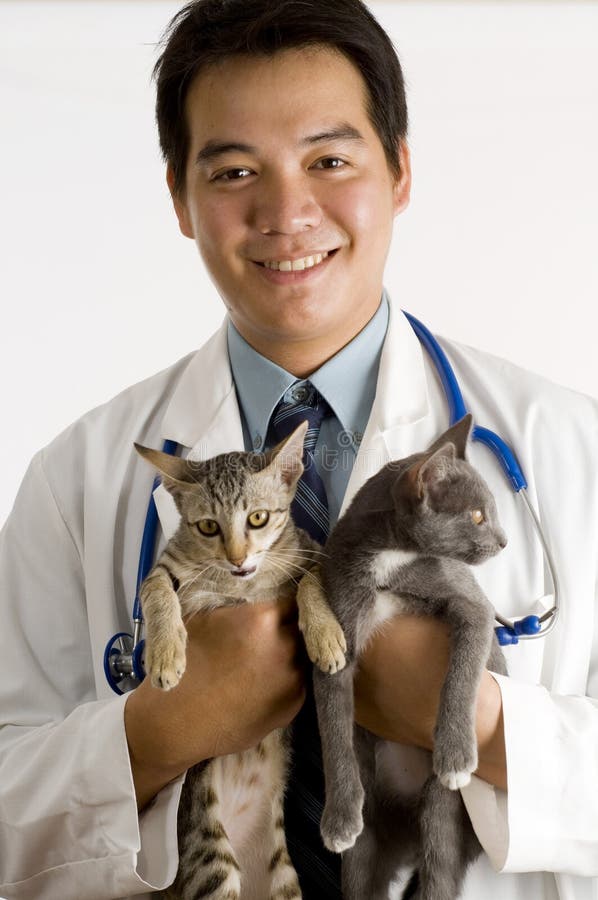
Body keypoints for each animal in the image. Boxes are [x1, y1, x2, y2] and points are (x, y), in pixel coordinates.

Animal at [135, 426, 342, 900]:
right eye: (208, 526)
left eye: (258, 519)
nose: (237, 558)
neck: (241, 585)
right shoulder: (165, 568)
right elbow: (156, 591)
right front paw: (165, 652)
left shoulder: (313, 552)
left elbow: (313, 580)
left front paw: (324, 633)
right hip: (211, 859)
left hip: (282, 878)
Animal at [300, 414, 510, 900]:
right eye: (477, 515)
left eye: (493, 511)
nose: (505, 541)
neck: (390, 560)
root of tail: (406, 839)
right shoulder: (338, 630)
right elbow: (333, 724)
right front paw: (339, 818)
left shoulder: (471, 603)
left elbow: (461, 675)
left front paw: (455, 756)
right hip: (371, 837)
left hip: (445, 812)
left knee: (440, 869)